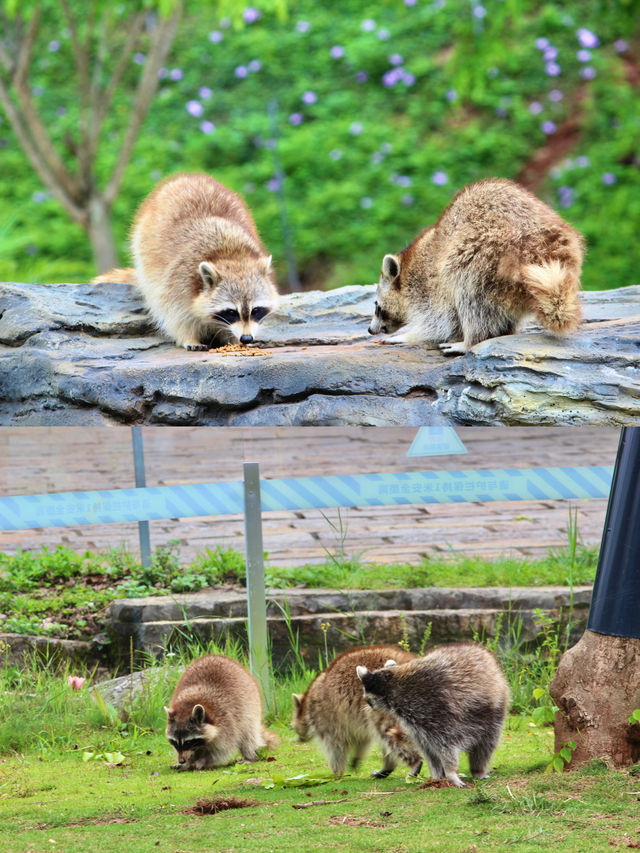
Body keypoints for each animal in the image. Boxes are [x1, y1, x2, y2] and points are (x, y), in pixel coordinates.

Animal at [95, 173, 278, 350]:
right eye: (232, 312)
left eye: (256, 310)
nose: (246, 338)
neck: (232, 255)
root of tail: (188, 177)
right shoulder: (178, 280)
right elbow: (175, 315)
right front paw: (189, 337)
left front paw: (234, 338)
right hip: (143, 245)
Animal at [292, 644, 422, 780]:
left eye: (292, 727)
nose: (298, 739)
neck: (307, 703)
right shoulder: (355, 719)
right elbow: (362, 740)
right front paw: (357, 758)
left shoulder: (326, 718)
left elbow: (335, 747)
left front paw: (335, 772)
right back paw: (388, 767)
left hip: (384, 708)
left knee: (390, 734)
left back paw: (414, 763)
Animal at [356, 644, 510, 788]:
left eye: (366, 698)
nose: (368, 705)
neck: (395, 686)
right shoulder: (417, 724)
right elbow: (429, 751)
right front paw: (437, 776)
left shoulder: (436, 710)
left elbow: (447, 746)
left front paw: (450, 771)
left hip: (492, 709)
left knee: (486, 743)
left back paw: (478, 769)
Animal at [370, 178, 584, 354]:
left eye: (377, 306)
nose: (370, 329)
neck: (407, 268)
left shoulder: (428, 286)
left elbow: (441, 323)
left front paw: (408, 335)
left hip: (487, 256)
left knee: (470, 295)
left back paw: (470, 341)